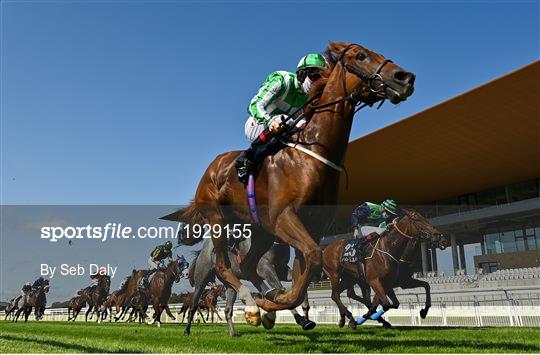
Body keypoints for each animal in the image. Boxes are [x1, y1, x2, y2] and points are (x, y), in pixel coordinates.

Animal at [162, 41, 416, 326]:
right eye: (361, 55)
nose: (405, 77)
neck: (312, 155)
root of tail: (212, 167)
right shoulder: (283, 218)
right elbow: (312, 260)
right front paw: (274, 303)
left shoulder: (313, 228)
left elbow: (304, 272)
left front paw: (277, 302)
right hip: (218, 219)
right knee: (223, 266)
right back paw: (252, 305)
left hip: (259, 230)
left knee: (248, 265)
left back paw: (263, 301)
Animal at [184, 238, 314, 338]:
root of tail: (202, 250)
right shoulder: (264, 268)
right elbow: (280, 292)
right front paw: (302, 320)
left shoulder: (281, 270)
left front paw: (305, 312)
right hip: (202, 279)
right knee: (194, 305)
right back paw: (186, 330)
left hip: (229, 284)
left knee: (228, 309)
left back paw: (233, 333)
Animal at [320, 209, 448, 328]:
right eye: (417, 220)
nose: (441, 238)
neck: (388, 249)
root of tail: (325, 249)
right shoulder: (376, 281)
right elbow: (386, 303)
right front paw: (370, 317)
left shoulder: (391, 282)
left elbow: (422, 287)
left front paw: (424, 312)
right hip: (334, 274)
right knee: (335, 295)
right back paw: (350, 319)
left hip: (350, 278)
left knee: (349, 295)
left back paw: (348, 319)